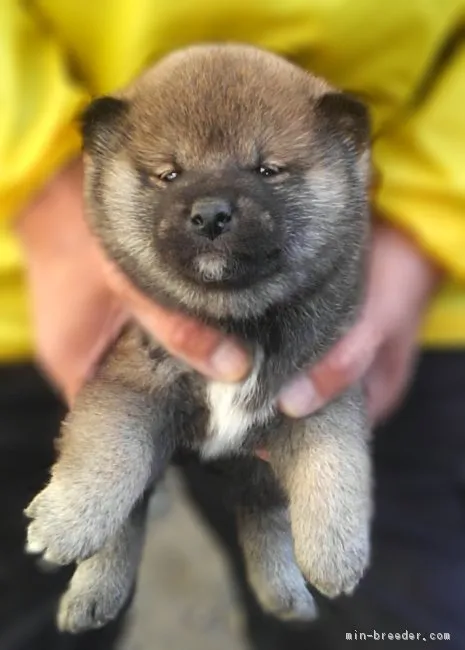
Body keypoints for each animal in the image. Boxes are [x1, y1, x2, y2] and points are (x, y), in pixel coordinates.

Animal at [23, 45, 372, 632]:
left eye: (267, 169)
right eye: (169, 173)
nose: (210, 214)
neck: (234, 321)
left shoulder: (320, 392)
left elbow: (334, 463)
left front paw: (336, 552)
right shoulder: (129, 386)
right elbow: (108, 459)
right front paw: (65, 522)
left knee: (263, 514)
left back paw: (282, 591)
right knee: (131, 514)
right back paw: (93, 594)